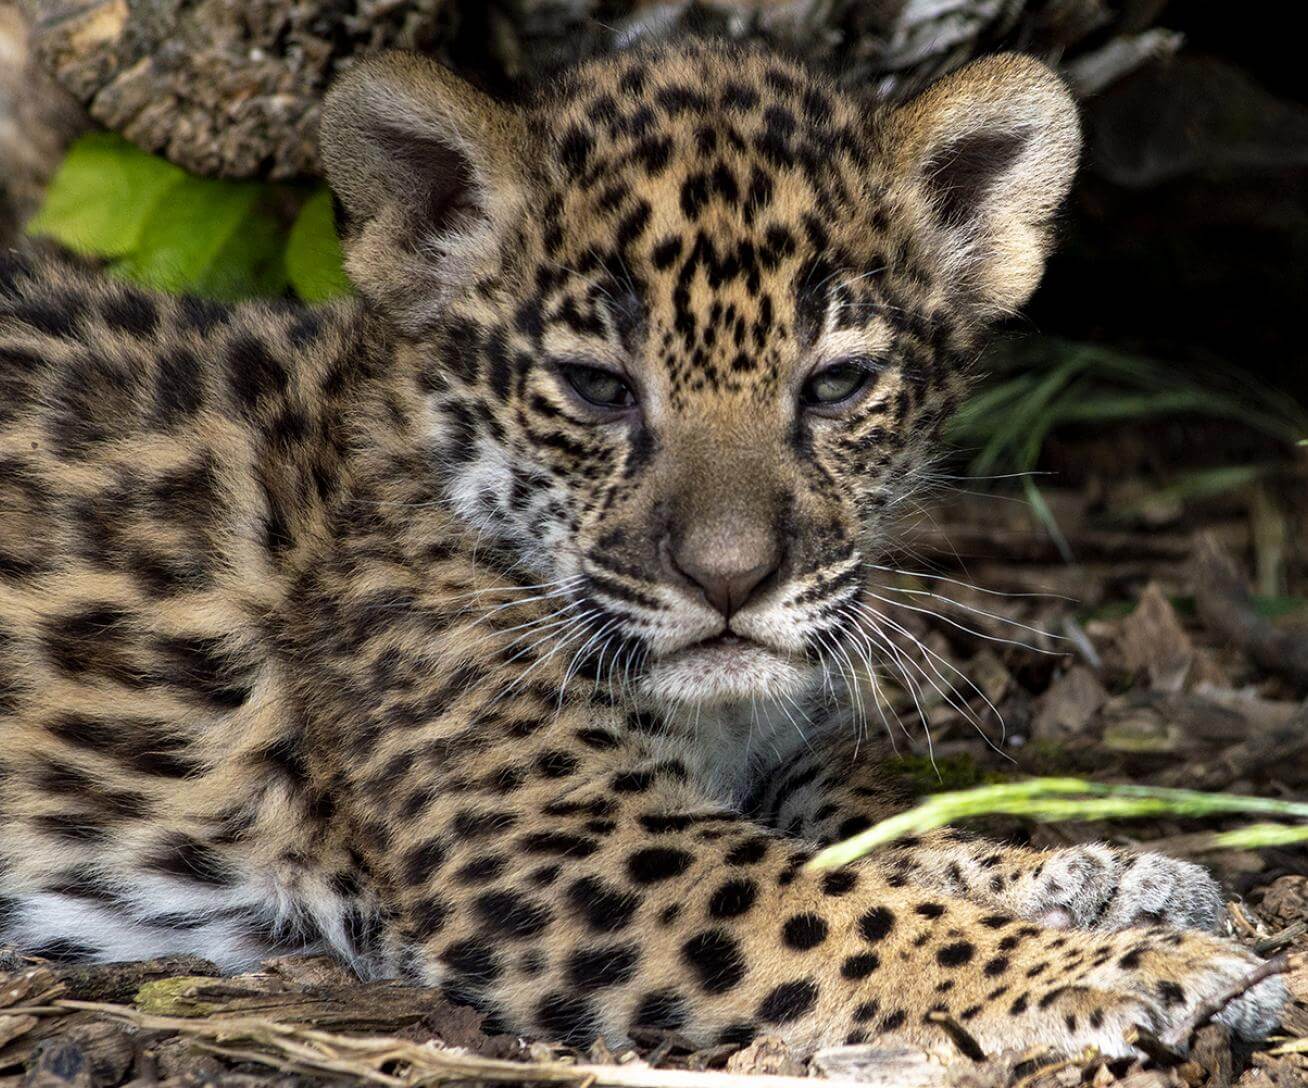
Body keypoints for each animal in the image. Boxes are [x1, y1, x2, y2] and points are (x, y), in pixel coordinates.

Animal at [0, 38, 1287, 1060]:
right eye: (597, 388)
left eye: (836, 386)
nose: (731, 580)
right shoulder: (553, 840)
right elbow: (846, 906)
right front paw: (1131, 962)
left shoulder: (754, 772)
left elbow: (891, 833)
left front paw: (1107, 869)